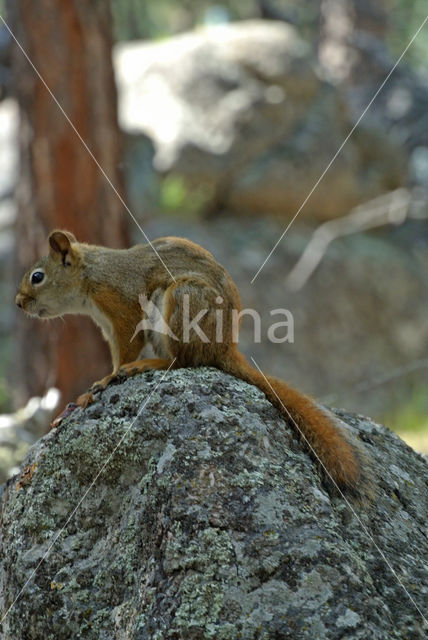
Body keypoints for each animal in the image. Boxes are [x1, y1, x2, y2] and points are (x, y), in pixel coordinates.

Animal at [15, 230, 372, 496]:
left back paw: (148, 365)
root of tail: (223, 347)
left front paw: (106, 380)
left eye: (37, 276)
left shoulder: (124, 307)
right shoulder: (107, 325)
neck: (91, 273)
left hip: (182, 300)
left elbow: (126, 351)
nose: (18, 303)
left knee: (181, 361)